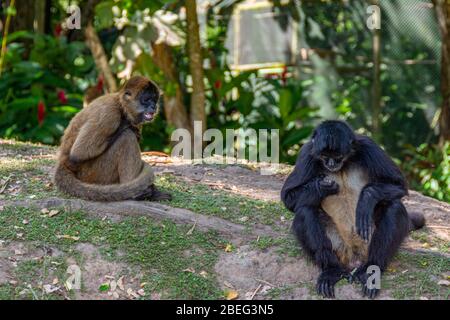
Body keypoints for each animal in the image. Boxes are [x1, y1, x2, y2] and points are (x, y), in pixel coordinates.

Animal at [282, 120, 426, 298]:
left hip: (368, 242)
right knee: (305, 209)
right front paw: (322, 187)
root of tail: (354, 257)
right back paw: (331, 270)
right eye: (324, 157)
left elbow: (399, 185)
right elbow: (288, 198)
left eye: (337, 157)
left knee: (394, 206)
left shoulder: (368, 145)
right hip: (338, 246)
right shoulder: (307, 152)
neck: (343, 165)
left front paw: (366, 199)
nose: (330, 164)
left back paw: (371, 269)